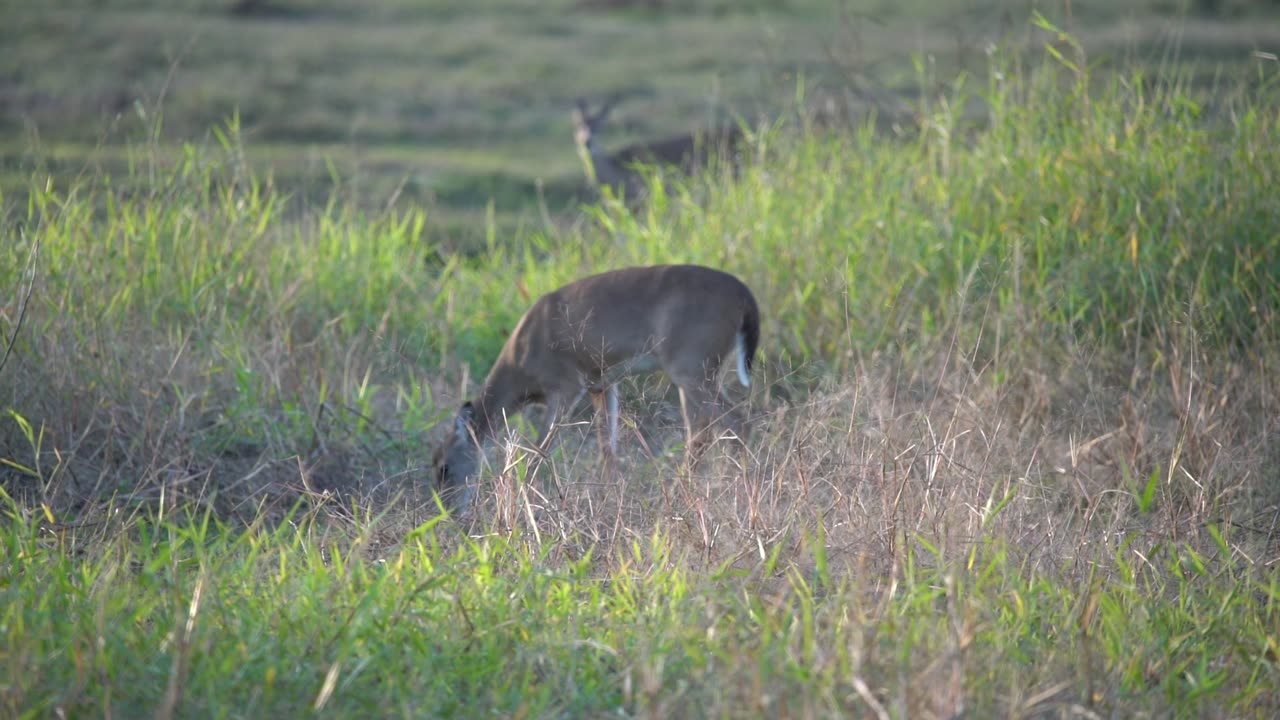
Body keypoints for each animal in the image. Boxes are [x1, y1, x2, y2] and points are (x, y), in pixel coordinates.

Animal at [435, 263, 762, 509]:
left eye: (444, 468)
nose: (448, 512)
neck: (520, 366)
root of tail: (746, 299)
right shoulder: (602, 384)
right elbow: (609, 447)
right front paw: (610, 498)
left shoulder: (565, 384)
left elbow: (540, 449)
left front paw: (527, 500)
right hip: (699, 371)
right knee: (702, 433)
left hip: (691, 366)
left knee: (737, 422)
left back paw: (741, 496)